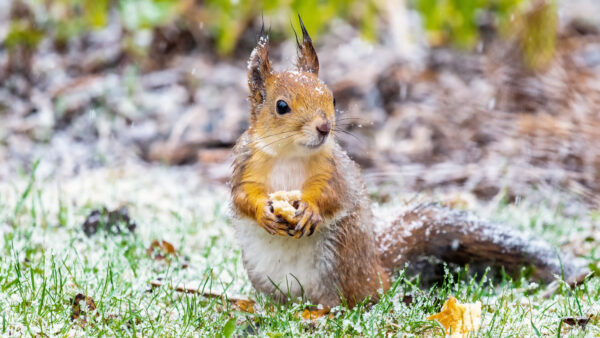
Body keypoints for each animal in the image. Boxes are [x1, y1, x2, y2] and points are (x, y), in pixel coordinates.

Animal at [229, 17, 580, 310]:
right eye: (281, 106)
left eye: (332, 98)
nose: (324, 127)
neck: (291, 155)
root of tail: (378, 272)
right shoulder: (245, 166)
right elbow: (242, 198)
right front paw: (263, 212)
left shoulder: (334, 170)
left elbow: (335, 195)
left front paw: (311, 210)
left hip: (339, 263)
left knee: (349, 302)